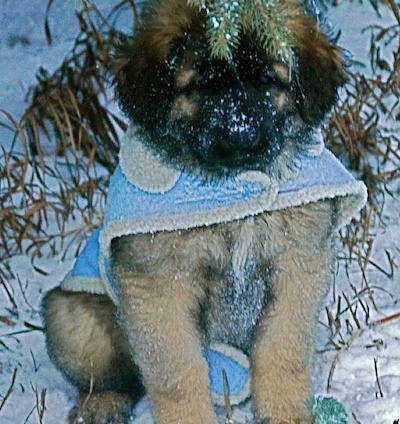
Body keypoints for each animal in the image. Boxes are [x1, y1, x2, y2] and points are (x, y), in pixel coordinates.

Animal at [42, 0, 352, 422]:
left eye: (267, 80)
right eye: (204, 84)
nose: (242, 132)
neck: (231, 195)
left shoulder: (297, 267)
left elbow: (282, 352)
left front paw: (285, 412)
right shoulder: (160, 286)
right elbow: (178, 374)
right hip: (70, 316)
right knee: (113, 377)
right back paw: (102, 403)